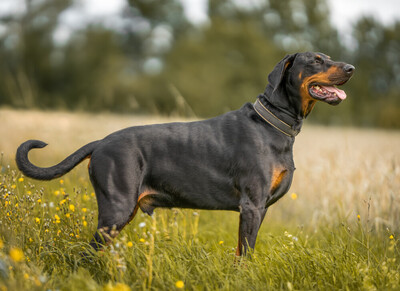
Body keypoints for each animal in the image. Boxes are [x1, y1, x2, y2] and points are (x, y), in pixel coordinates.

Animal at [15, 52, 354, 256]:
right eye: (316, 61)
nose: (352, 68)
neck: (274, 124)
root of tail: (99, 142)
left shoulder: (261, 209)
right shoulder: (251, 206)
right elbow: (243, 254)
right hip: (116, 208)